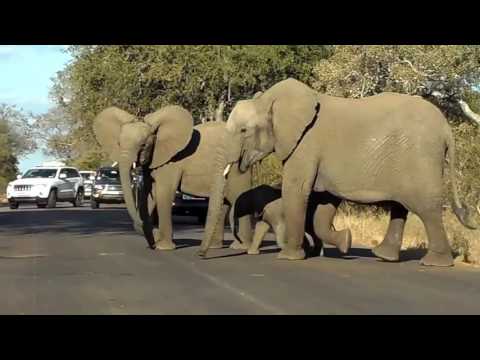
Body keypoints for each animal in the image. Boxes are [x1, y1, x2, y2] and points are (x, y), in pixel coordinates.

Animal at [91, 104, 253, 250]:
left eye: (143, 145)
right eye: (118, 143)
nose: (153, 239)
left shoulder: (171, 162)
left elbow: (163, 193)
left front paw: (163, 247)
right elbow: (150, 195)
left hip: (237, 167)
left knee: (237, 196)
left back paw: (240, 247)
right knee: (225, 201)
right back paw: (216, 247)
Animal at [199, 77, 476, 266]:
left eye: (244, 131)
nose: (202, 256)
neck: (269, 100)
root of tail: (447, 129)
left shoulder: (305, 145)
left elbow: (297, 191)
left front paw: (289, 257)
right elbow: (324, 202)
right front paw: (345, 242)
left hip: (420, 158)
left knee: (425, 207)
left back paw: (434, 263)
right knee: (400, 207)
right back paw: (383, 256)